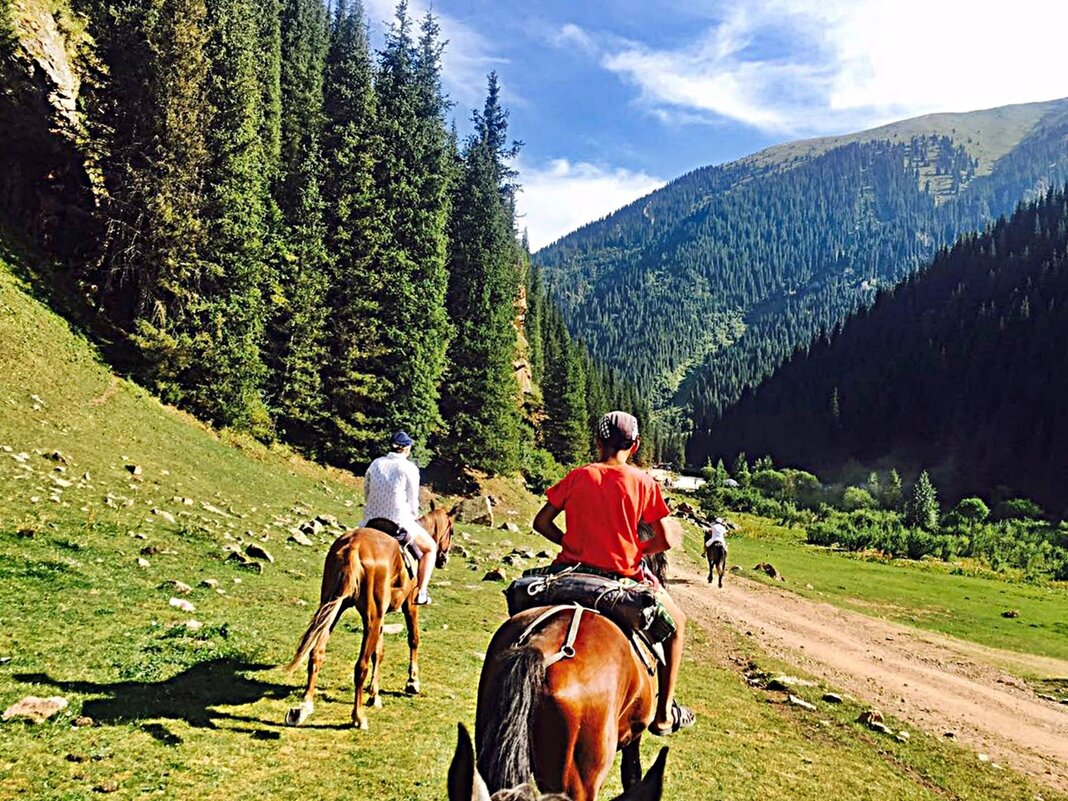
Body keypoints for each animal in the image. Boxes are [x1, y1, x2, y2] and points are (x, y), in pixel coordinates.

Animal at [281, 510, 452, 730]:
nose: (444, 559)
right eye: (451, 530)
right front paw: (412, 682)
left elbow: (378, 652)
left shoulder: (380, 615)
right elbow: (413, 639)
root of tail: (353, 546)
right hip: (370, 616)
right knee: (360, 665)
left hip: (334, 606)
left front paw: (375, 694)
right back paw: (358, 716)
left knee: (316, 653)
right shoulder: (409, 605)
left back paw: (303, 708)